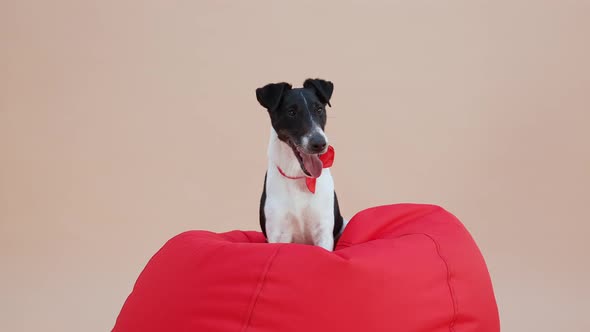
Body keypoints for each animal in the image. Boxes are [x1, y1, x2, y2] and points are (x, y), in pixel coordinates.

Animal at [256, 78, 346, 250]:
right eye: (291, 112)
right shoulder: (278, 233)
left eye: (319, 109)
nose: (319, 143)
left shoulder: (323, 232)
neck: (298, 176)